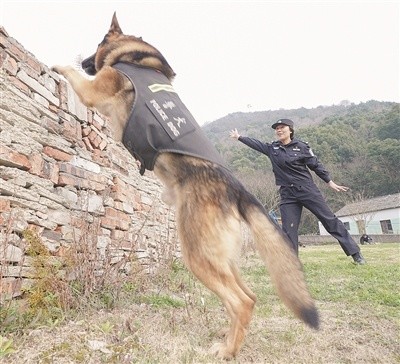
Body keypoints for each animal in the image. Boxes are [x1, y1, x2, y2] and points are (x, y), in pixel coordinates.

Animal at [52, 13, 318, 358]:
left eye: (98, 44)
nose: (85, 62)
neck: (133, 57)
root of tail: (237, 188)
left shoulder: (93, 91)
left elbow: (71, 76)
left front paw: (60, 65)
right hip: (221, 258)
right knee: (249, 296)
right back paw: (228, 339)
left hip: (197, 255)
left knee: (241, 301)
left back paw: (227, 351)